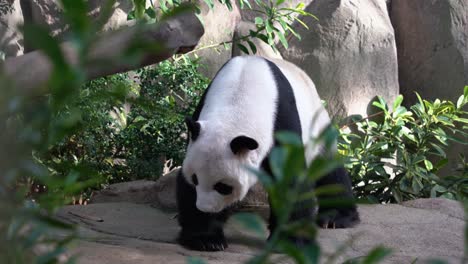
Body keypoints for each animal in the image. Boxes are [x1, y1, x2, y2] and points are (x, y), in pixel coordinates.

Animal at [176, 56, 358, 252]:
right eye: (195, 179)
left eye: (223, 186)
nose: (205, 208)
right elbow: (185, 181)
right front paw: (206, 239)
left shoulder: (282, 118)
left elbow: (290, 179)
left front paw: (290, 240)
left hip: (318, 125)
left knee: (329, 170)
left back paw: (336, 217)